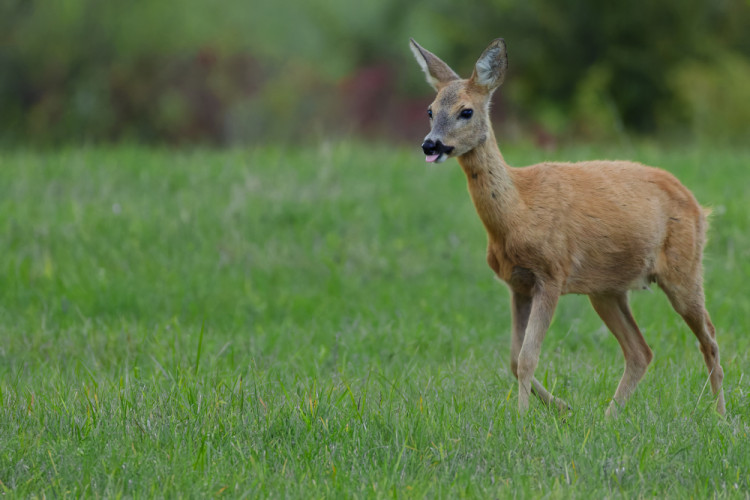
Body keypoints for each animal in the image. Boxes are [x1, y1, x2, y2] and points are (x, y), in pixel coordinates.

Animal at [412, 37, 728, 416]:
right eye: (430, 110)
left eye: (466, 111)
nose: (430, 144)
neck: (518, 212)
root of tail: (698, 207)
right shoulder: (518, 284)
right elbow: (514, 359)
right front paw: (560, 407)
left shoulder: (552, 273)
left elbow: (528, 357)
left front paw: (522, 418)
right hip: (606, 289)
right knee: (641, 351)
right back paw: (608, 416)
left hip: (683, 268)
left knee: (709, 338)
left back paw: (721, 416)